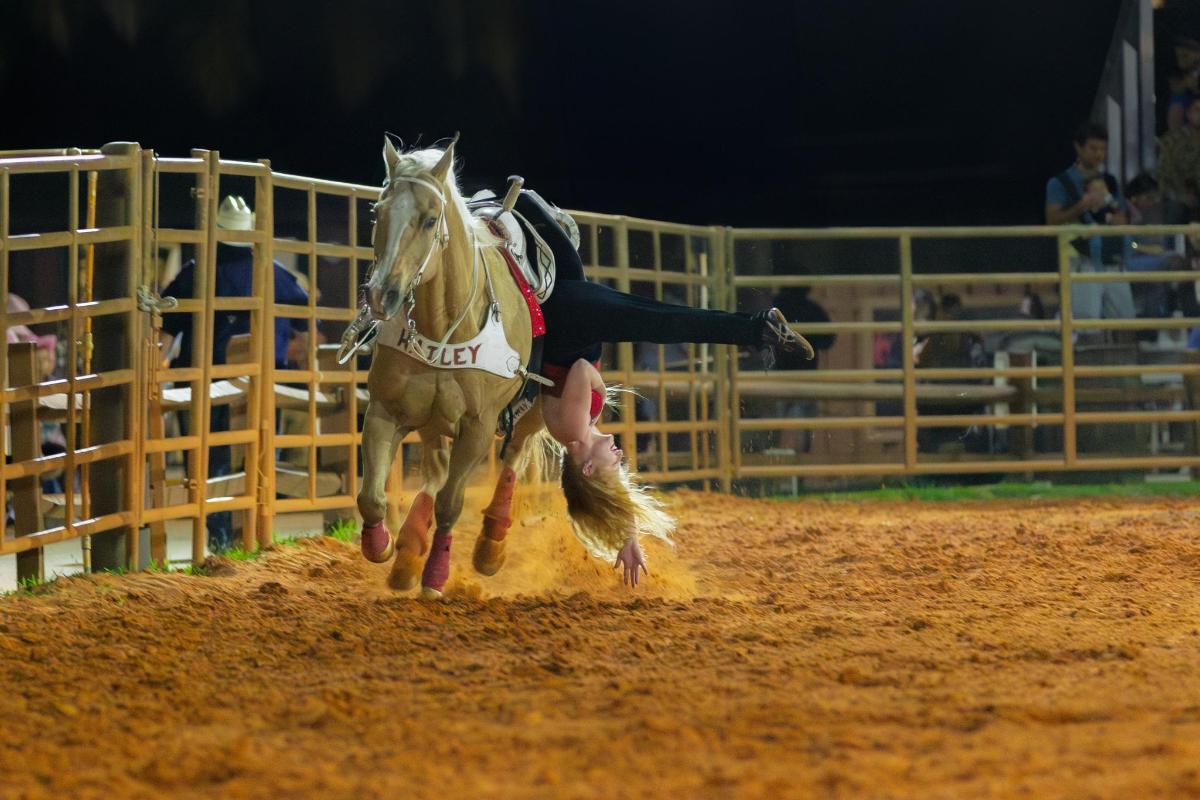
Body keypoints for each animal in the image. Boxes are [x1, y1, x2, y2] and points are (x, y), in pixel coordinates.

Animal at [355, 135, 548, 597]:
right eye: (376, 212)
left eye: (429, 220)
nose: (381, 295)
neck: (443, 324)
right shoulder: (384, 411)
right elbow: (371, 498)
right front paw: (381, 545)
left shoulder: (478, 428)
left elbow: (450, 503)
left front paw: (436, 576)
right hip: (431, 421)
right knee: (435, 468)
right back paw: (407, 554)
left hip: (534, 412)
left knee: (513, 458)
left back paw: (490, 547)